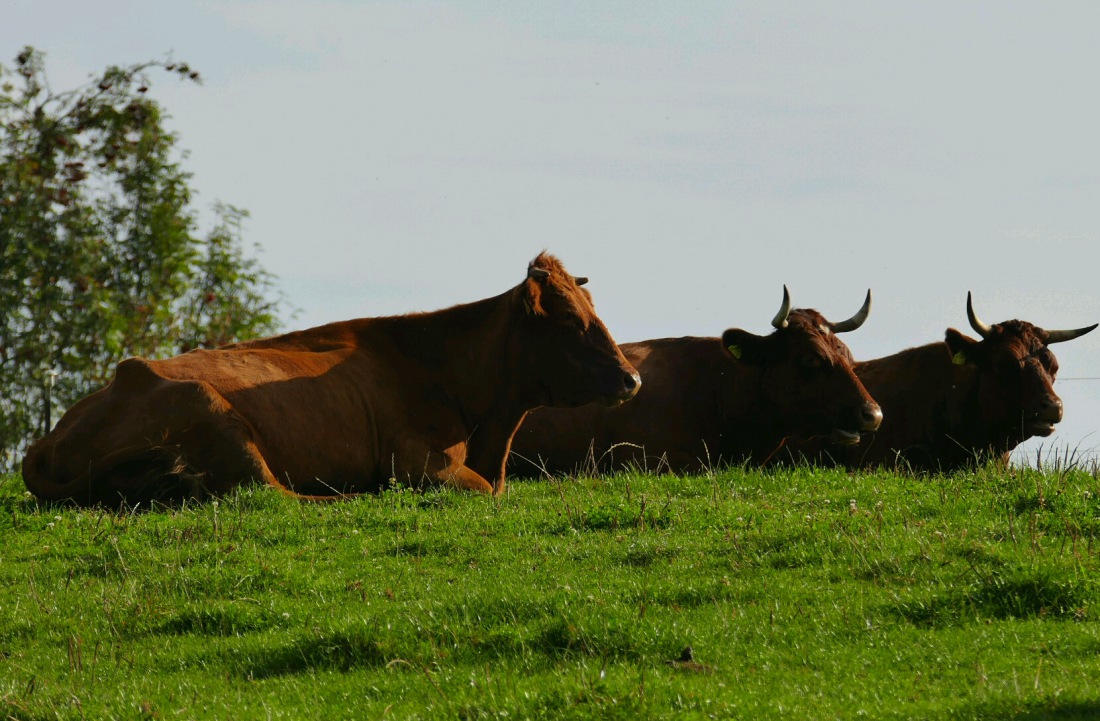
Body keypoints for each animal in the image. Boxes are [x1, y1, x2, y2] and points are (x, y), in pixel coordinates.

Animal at [21, 254, 642, 508]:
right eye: (569, 319)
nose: (632, 378)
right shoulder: (419, 461)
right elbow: (484, 491)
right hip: (213, 414)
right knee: (268, 493)